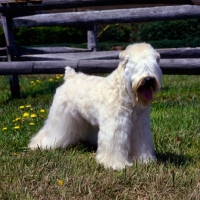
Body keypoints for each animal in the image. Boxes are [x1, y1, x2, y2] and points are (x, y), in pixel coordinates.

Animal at [28, 43, 162, 170]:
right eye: (134, 64)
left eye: (154, 64)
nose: (148, 79)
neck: (124, 92)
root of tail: (70, 76)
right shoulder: (115, 127)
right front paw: (116, 164)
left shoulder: (140, 127)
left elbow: (141, 144)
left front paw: (144, 160)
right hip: (60, 118)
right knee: (49, 132)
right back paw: (39, 145)